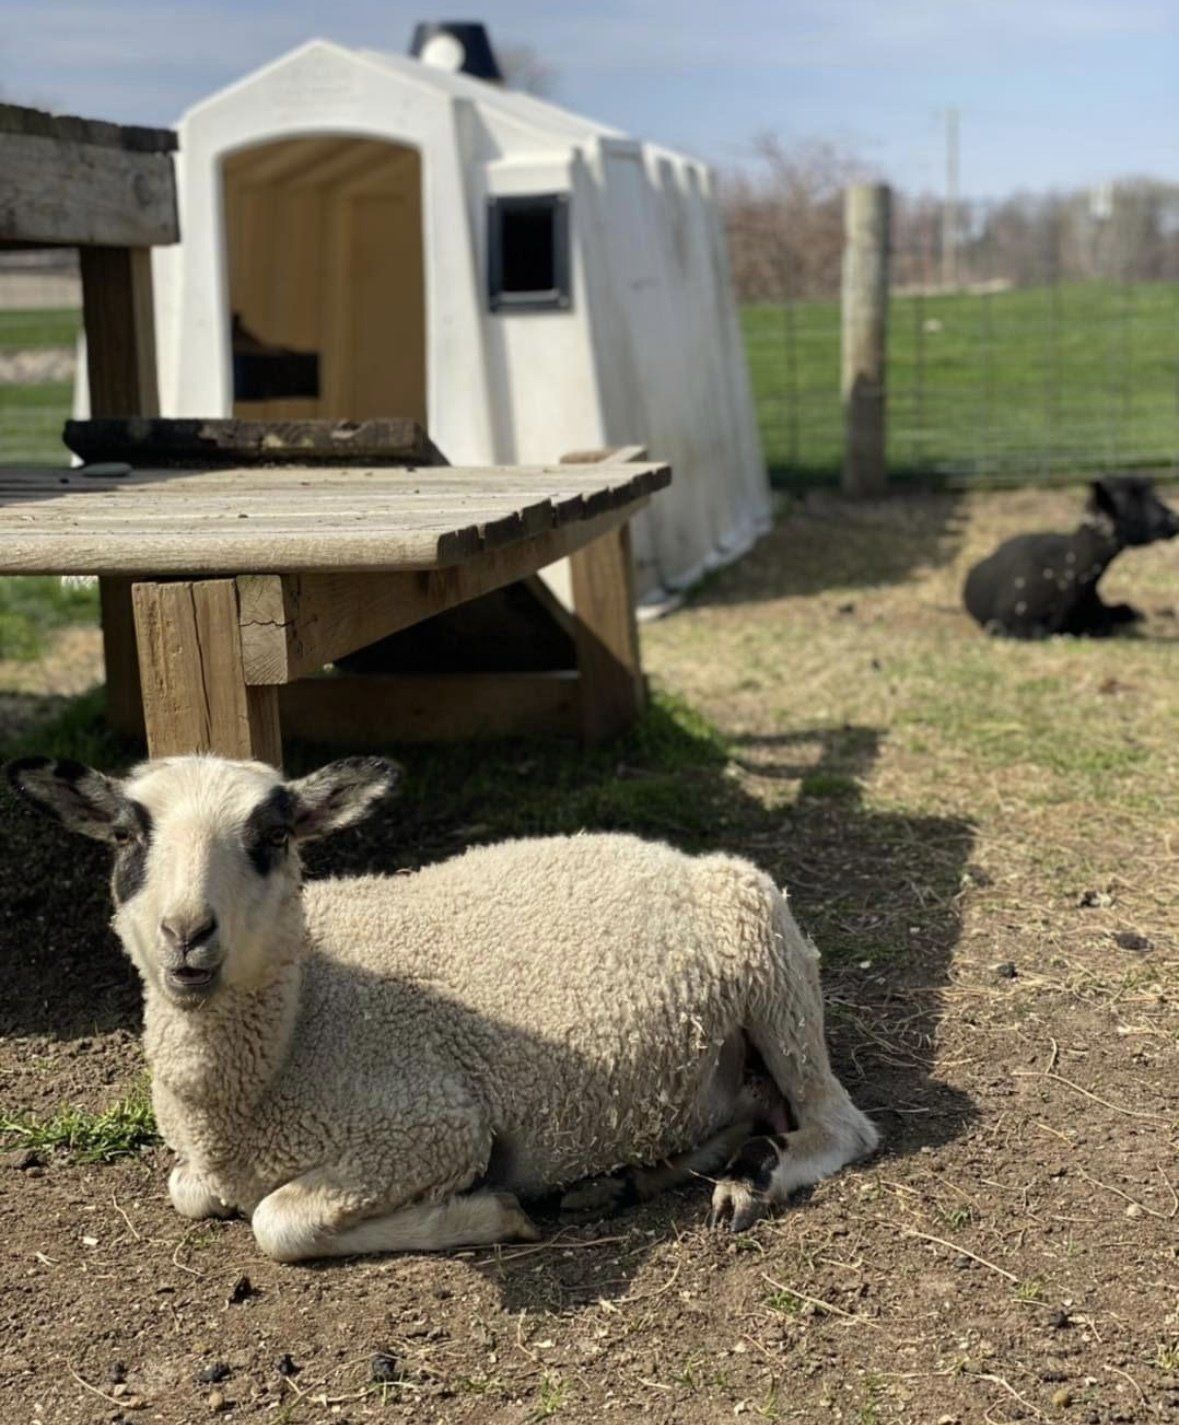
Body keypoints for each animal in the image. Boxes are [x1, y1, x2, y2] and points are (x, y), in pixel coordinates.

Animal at [6, 752, 879, 1261]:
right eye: (126, 836)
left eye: (275, 833)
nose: (186, 933)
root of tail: (669, 851)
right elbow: (188, 1190)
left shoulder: (432, 1126)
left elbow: (277, 1223)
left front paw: (489, 1212)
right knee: (751, 1108)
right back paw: (636, 1175)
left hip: (767, 954)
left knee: (841, 1124)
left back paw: (752, 1179)